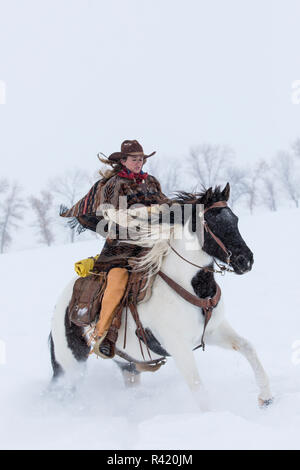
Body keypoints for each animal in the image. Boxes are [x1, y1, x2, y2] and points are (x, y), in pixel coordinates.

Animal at [48, 182, 272, 410]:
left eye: (234, 220)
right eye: (211, 223)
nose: (245, 260)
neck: (190, 287)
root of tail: (60, 308)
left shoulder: (213, 331)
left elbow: (247, 347)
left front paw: (266, 397)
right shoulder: (178, 347)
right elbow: (199, 389)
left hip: (127, 365)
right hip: (71, 366)